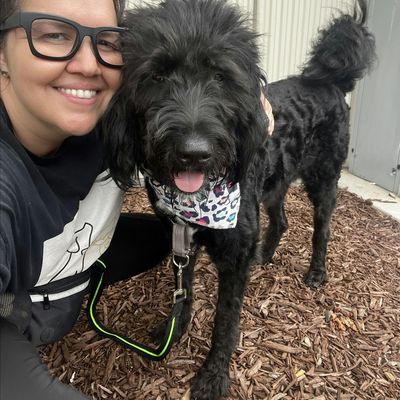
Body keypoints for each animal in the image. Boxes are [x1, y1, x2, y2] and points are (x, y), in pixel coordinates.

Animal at [103, 0, 376, 398]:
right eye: (157, 77)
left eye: (220, 77)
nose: (193, 153)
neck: (199, 201)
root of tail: (328, 81)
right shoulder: (179, 237)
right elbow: (183, 290)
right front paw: (175, 327)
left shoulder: (234, 255)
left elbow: (225, 321)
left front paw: (214, 376)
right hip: (274, 183)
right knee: (281, 220)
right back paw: (265, 255)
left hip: (323, 179)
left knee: (321, 229)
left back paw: (316, 272)